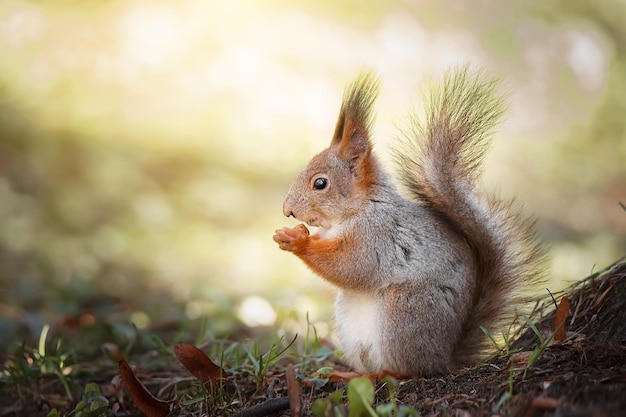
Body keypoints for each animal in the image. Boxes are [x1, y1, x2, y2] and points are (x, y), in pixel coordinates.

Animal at [272, 67, 540, 374]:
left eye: (320, 183)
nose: (288, 210)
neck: (358, 210)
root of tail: (444, 357)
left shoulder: (377, 236)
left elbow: (350, 266)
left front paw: (297, 241)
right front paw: (295, 233)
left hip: (403, 312)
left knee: (407, 371)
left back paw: (383, 373)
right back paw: (348, 374)